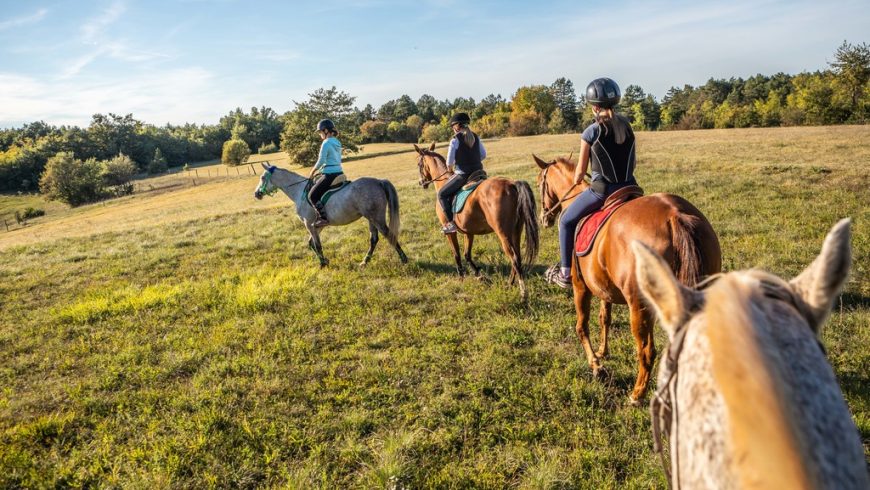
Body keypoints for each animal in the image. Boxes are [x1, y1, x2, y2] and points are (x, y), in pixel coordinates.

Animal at [255, 163, 412, 266]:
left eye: (262, 178)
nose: (256, 194)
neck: (299, 191)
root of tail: (379, 181)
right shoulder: (317, 226)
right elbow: (311, 244)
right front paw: (325, 260)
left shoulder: (308, 224)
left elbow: (317, 245)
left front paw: (323, 264)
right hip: (370, 218)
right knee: (373, 239)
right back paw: (365, 261)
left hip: (376, 217)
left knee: (389, 235)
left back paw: (404, 259)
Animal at [414, 143, 540, 298]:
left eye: (419, 164)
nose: (421, 182)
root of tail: (512, 184)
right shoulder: (469, 232)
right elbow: (467, 254)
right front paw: (479, 275)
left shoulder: (450, 232)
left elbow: (456, 254)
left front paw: (461, 277)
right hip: (516, 231)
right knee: (517, 258)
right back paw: (509, 284)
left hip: (503, 234)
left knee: (514, 259)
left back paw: (523, 292)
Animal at [532, 155, 724, 404]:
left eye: (539, 183)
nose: (543, 218)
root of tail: (675, 215)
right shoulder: (604, 288)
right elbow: (605, 318)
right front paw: (603, 352)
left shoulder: (580, 286)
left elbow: (582, 326)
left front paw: (596, 365)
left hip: (639, 305)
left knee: (646, 351)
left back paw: (637, 395)